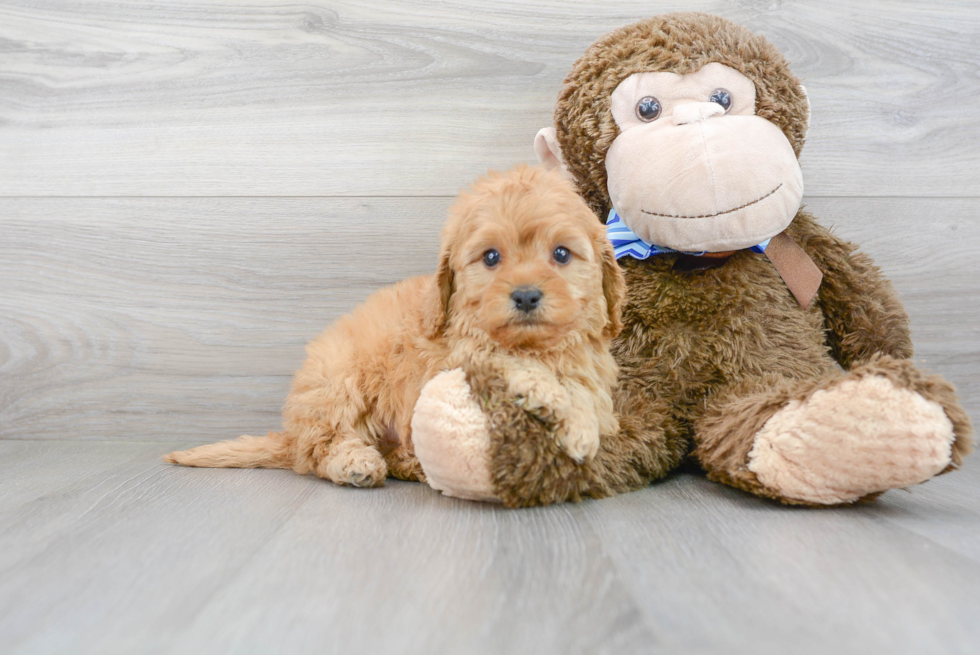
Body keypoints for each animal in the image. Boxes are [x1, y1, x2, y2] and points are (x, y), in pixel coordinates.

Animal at [165, 167, 624, 486]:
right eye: (491, 257)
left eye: (561, 254)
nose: (526, 296)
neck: (536, 345)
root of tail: (290, 431)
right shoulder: (457, 359)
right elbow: (511, 362)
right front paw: (566, 414)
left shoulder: (592, 372)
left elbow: (589, 397)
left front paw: (581, 423)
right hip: (337, 380)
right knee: (316, 449)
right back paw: (356, 463)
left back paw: (409, 462)